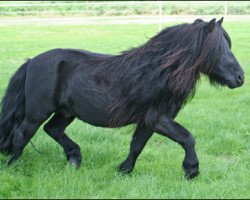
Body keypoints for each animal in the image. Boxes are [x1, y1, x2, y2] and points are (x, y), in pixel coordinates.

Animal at [0, 18, 244, 179]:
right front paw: (191, 170)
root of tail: (32, 62)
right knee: (23, 134)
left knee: (52, 129)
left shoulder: (148, 121)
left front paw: (124, 170)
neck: (156, 71)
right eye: (220, 49)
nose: (240, 77)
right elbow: (187, 137)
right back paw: (13, 167)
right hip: (37, 113)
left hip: (66, 112)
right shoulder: (158, 118)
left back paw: (74, 160)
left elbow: (137, 145)